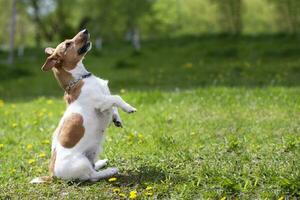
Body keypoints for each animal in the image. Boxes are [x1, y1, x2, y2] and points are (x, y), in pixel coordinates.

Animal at [31, 29, 137, 183]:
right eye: (68, 44)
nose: (85, 30)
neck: (80, 78)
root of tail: (52, 175)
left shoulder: (106, 97)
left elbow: (113, 105)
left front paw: (117, 119)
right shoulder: (101, 101)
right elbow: (116, 98)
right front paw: (129, 108)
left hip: (93, 152)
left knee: (93, 167)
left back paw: (102, 162)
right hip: (82, 163)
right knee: (92, 176)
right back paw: (110, 170)